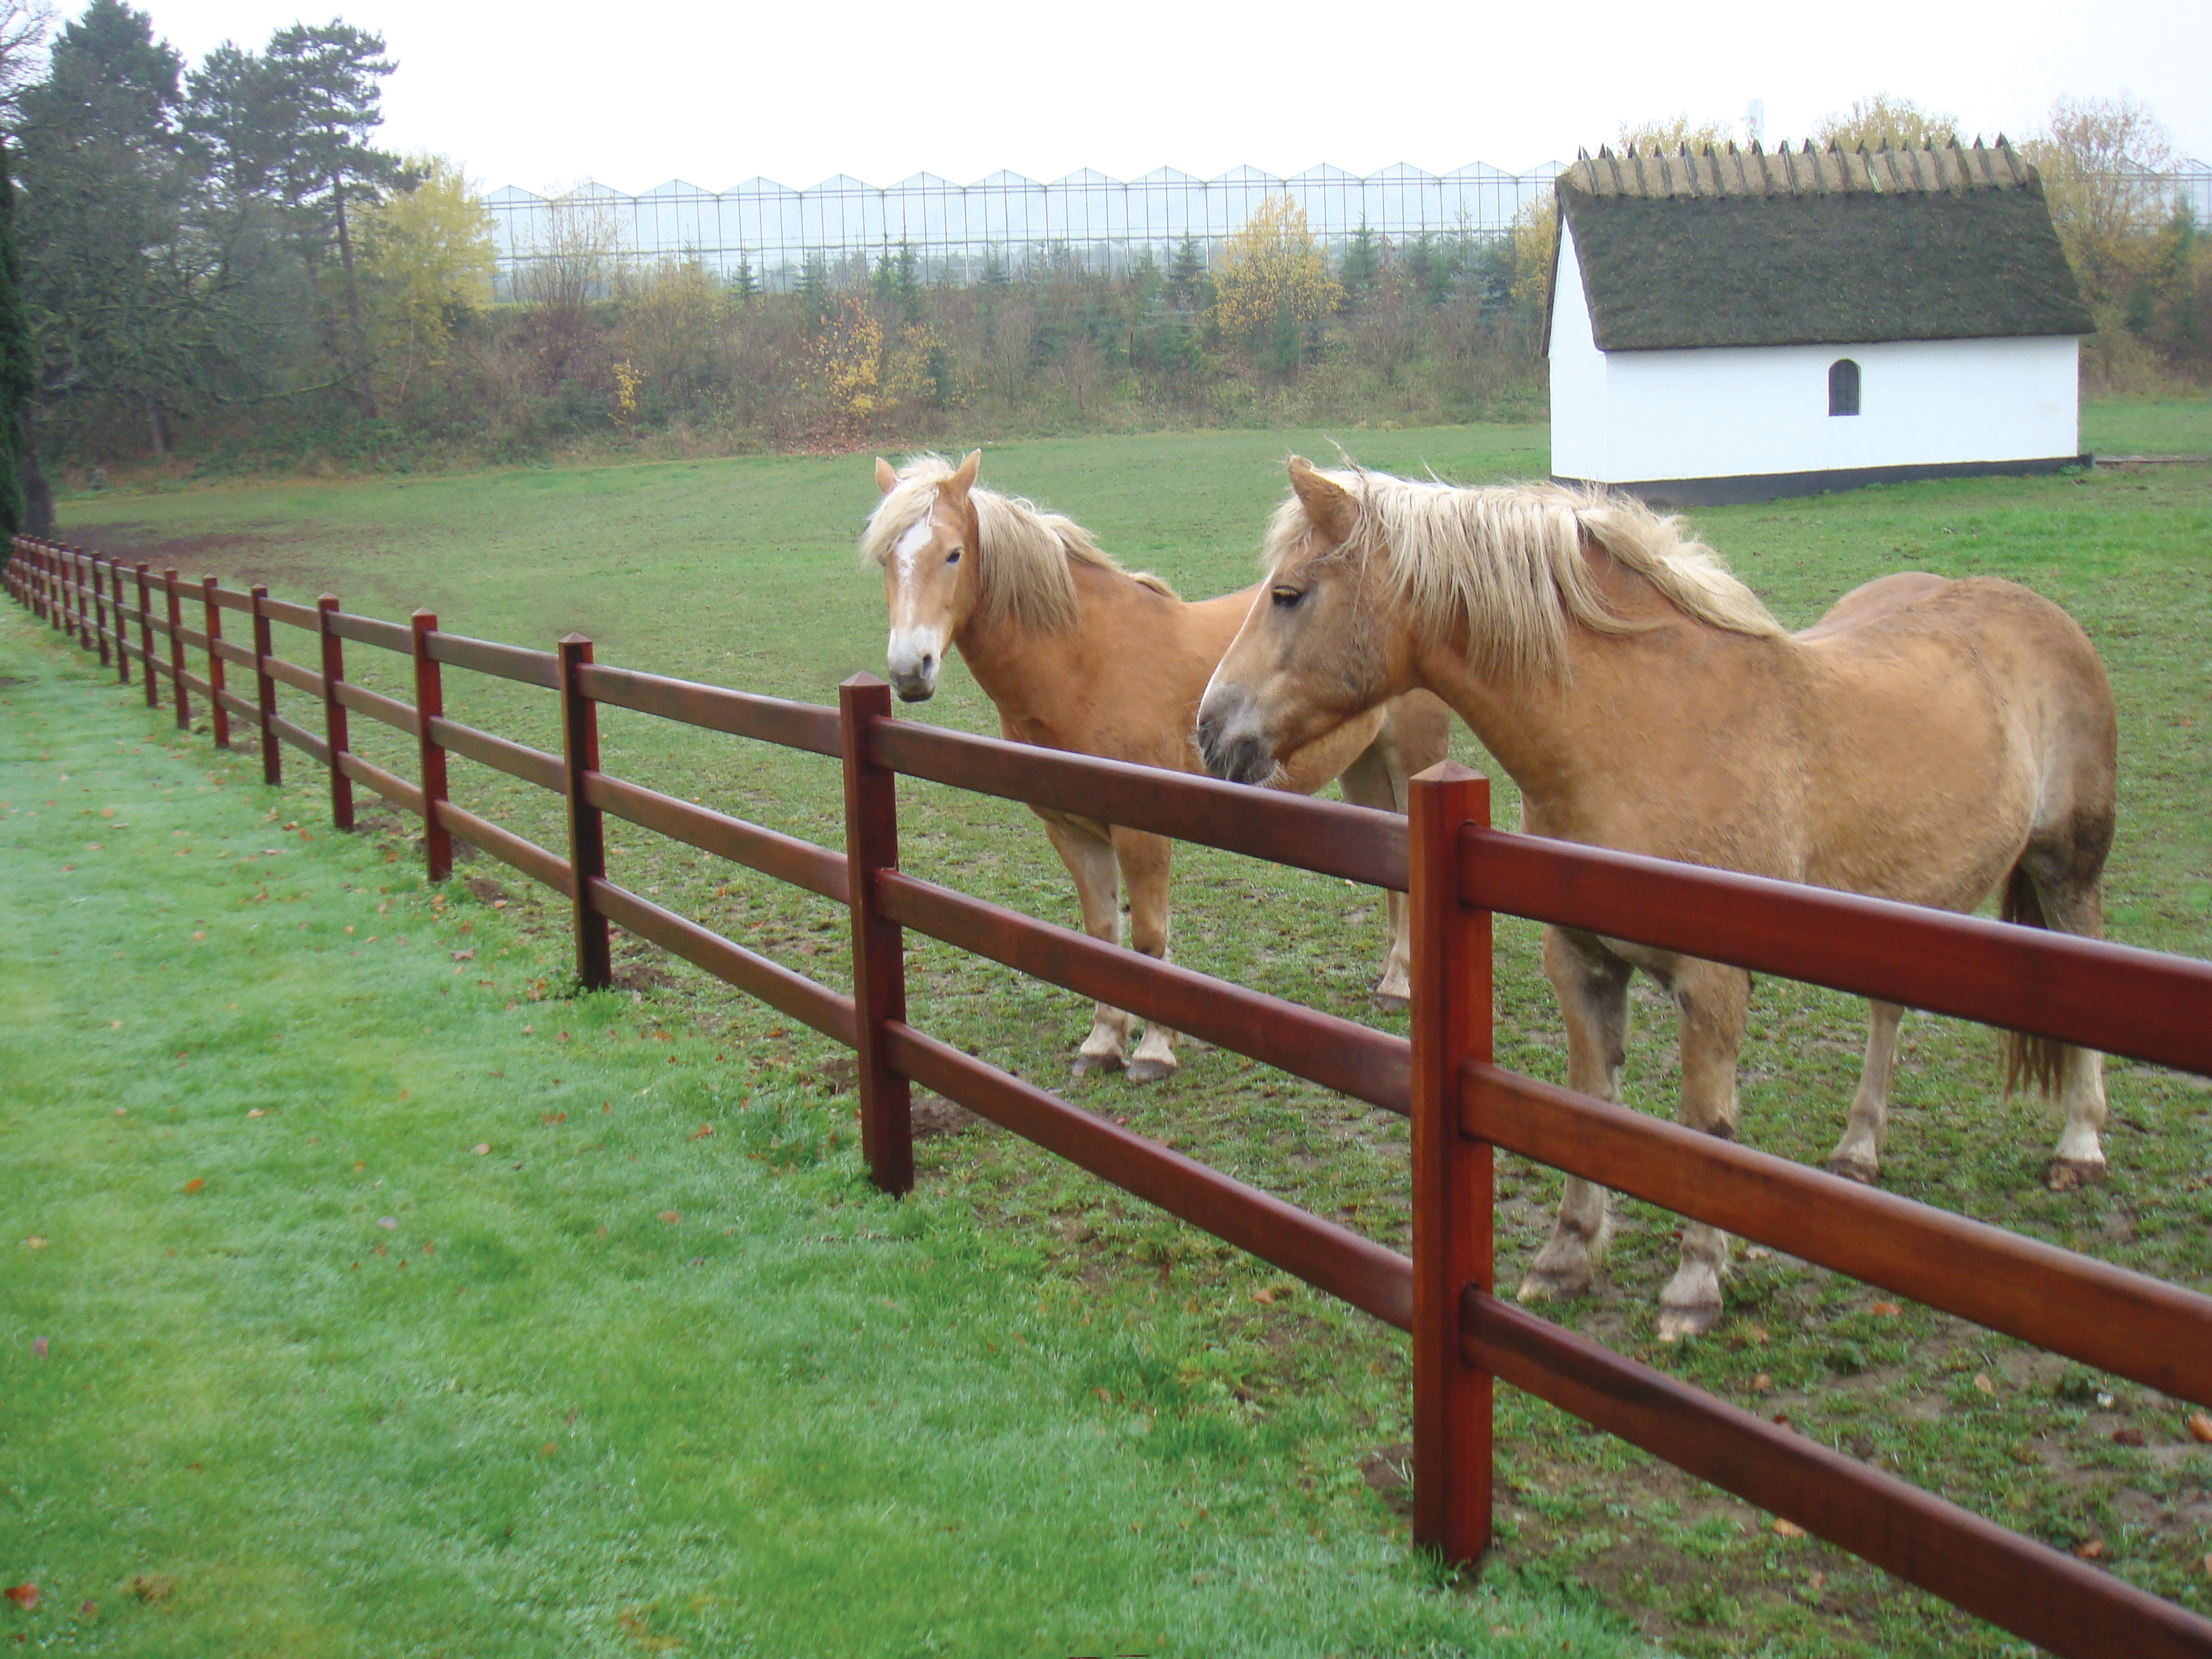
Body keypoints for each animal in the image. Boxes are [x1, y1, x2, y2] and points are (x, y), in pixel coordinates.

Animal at [863, 450, 1453, 1081]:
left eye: (953, 554)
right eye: (885, 558)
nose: (910, 670)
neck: (1085, 662)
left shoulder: (1141, 833)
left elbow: (1148, 940)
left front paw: (1153, 1051)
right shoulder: (1071, 831)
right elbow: (1101, 938)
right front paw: (1102, 1043)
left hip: (1411, 763)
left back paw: (1400, 984)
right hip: (1364, 771)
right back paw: (1392, 978)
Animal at [1195, 457, 2118, 1339]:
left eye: (1288, 594)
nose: (1210, 730)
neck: (1648, 734)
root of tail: (2041, 614)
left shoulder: (1710, 984)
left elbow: (1703, 1133)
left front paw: (1694, 1288)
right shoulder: (1582, 964)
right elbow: (1588, 1110)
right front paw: (1566, 1257)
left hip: (2069, 872)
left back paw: (2079, 1145)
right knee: (1887, 1013)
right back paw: (1858, 1150)